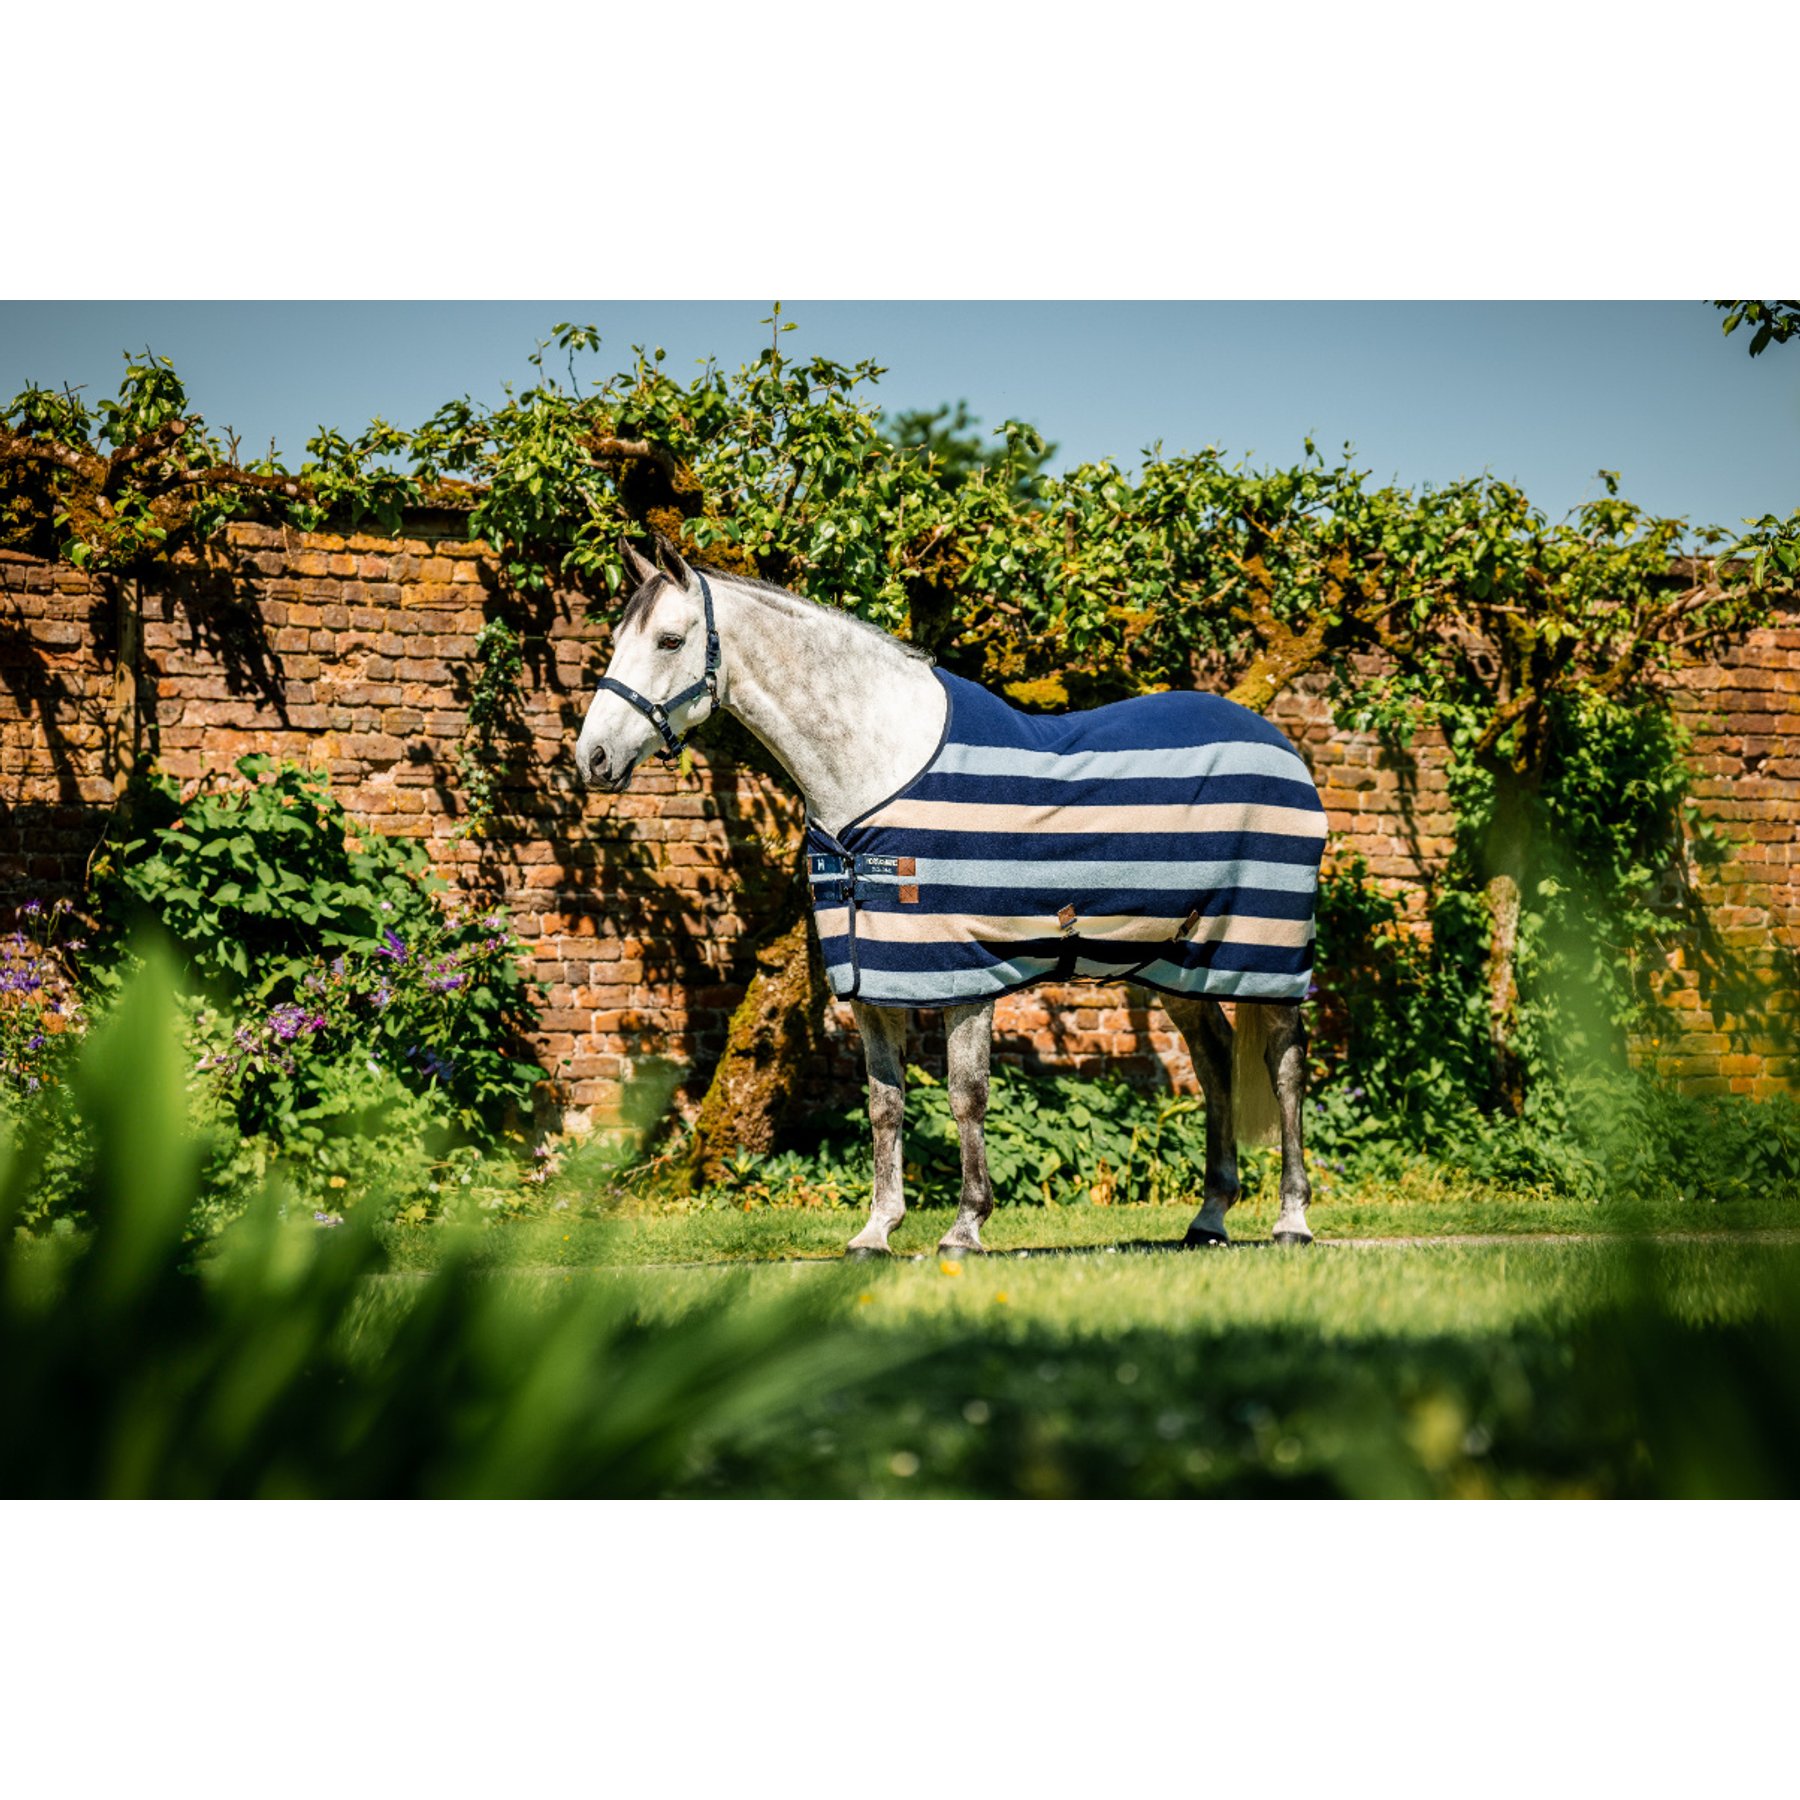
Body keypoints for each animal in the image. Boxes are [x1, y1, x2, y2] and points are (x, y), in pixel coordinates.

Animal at [576, 537, 1323, 1258]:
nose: (593, 759)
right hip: (1172, 957)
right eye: (615, 638)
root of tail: (1279, 744)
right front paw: (876, 1231)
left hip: (1268, 951)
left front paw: (965, 1227)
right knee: (1215, 1057)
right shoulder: (872, 977)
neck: (880, 767)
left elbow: (967, 1097)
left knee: (1284, 1066)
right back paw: (1210, 1217)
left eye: (670, 640)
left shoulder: (968, 970)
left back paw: (1292, 1219)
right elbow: (884, 1104)